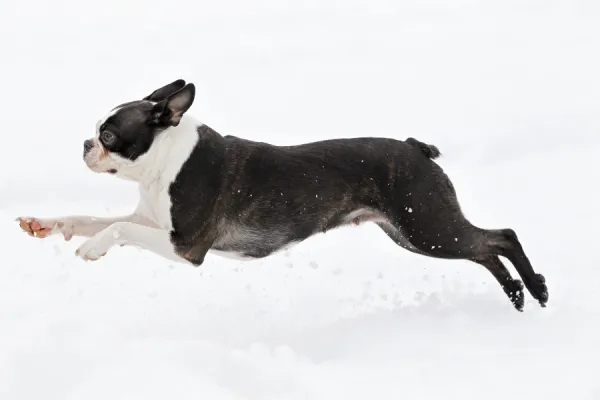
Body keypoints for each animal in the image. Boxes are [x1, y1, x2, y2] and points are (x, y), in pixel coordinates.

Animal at [15, 77, 548, 310]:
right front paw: (48, 225)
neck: (164, 160)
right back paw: (519, 294)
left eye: (109, 135)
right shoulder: (155, 223)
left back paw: (536, 288)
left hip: (427, 225)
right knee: (485, 249)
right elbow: (95, 217)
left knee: (500, 236)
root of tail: (416, 148)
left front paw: (92, 248)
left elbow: (116, 228)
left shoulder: (186, 246)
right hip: (414, 232)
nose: (85, 144)